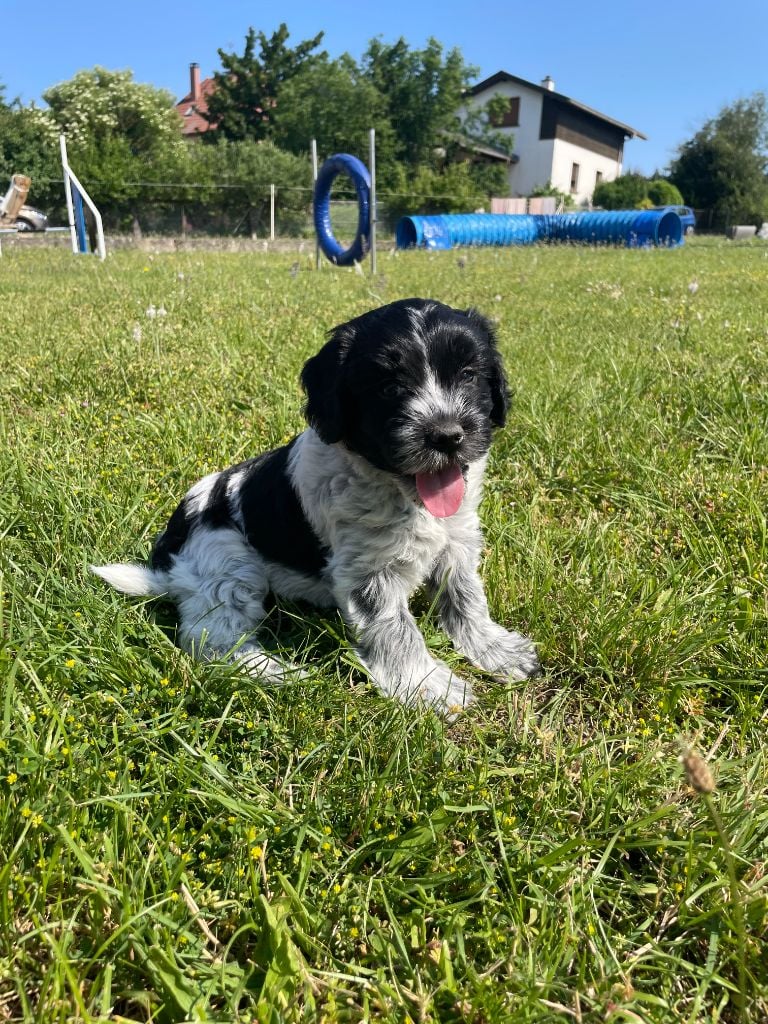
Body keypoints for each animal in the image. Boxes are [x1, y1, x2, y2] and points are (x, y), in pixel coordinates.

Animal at [93, 298, 540, 716]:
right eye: (388, 388)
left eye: (468, 375)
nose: (447, 436)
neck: (400, 491)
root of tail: (168, 551)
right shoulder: (368, 573)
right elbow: (394, 629)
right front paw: (427, 687)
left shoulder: (457, 541)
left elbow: (466, 598)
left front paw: (495, 649)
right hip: (227, 561)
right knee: (213, 641)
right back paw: (281, 673)